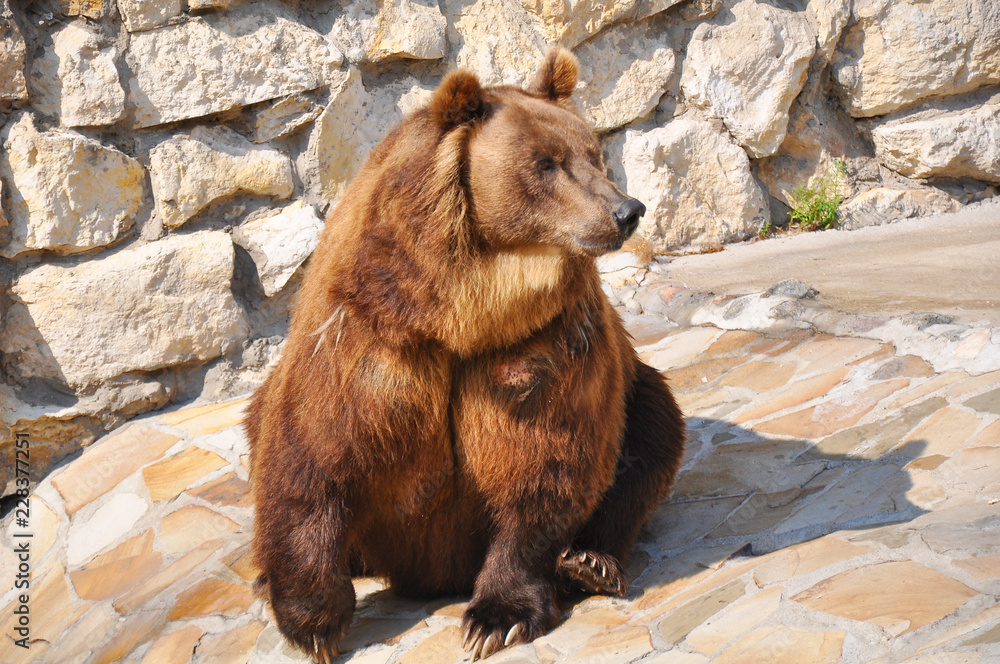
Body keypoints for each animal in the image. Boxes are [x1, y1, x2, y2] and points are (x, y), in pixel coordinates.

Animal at [244, 47, 686, 663]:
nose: (627, 210)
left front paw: (496, 617)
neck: (462, 312)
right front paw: (313, 622)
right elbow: (317, 450)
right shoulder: (370, 337)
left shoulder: (541, 348)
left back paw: (589, 563)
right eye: (546, 163)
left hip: (636, 387)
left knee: (650, 439)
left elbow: (545, 464)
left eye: (595, 154)